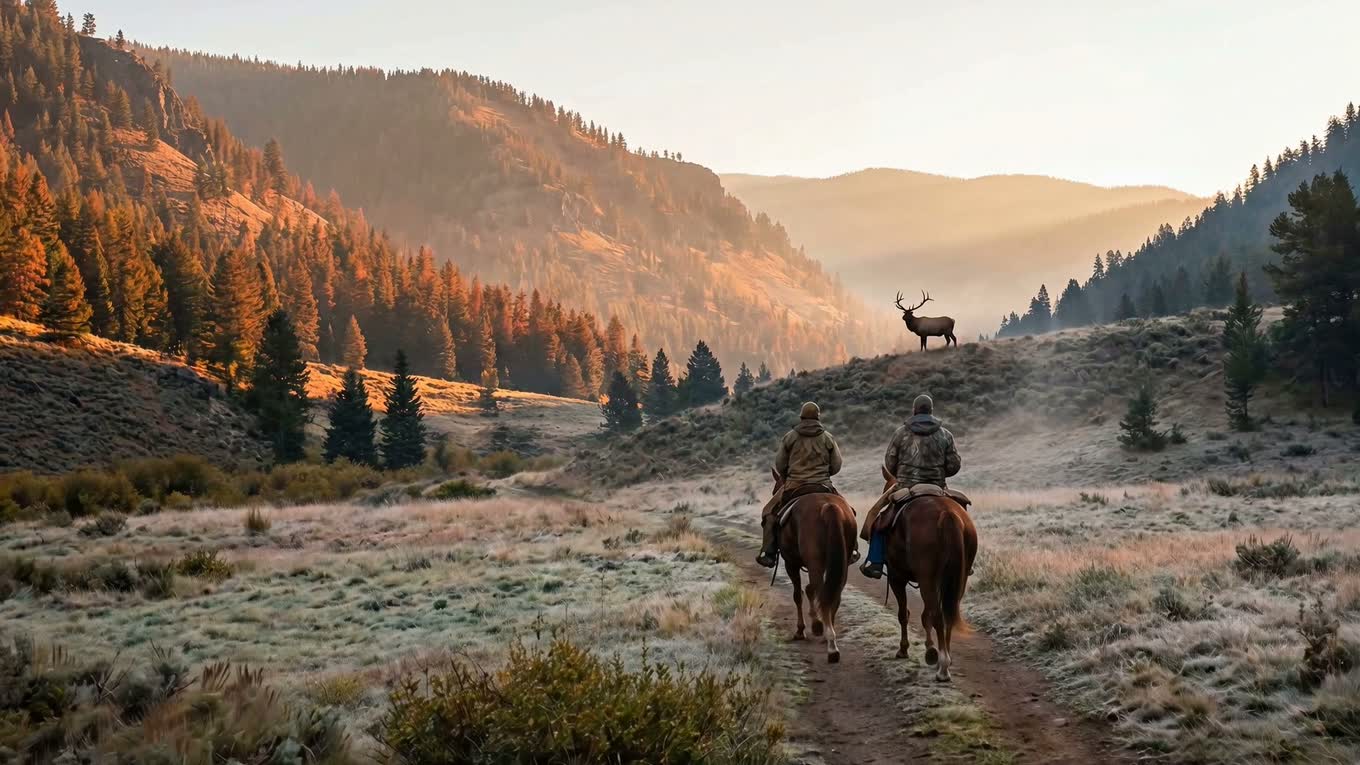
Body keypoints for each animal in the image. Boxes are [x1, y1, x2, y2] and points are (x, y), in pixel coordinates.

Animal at [760, 468, 858, 663]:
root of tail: (828, 507)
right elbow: (810, 590)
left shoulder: (791, 563)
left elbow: (798, 594)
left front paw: (802, 630)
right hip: (841, 563)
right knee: (832, 594)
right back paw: (829, 634)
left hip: (814, 563)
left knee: (818, 591)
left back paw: (827, 639)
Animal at [878, 466, 976, 681]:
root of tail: (947, 514)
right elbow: (924, 615)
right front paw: (931, 650)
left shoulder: (897, 577)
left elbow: (904, 614)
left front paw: (905, 649)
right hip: (958, 579)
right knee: (947, 614)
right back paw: (945, 659)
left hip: (927, 579)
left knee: (938, 615)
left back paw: (943, 667)